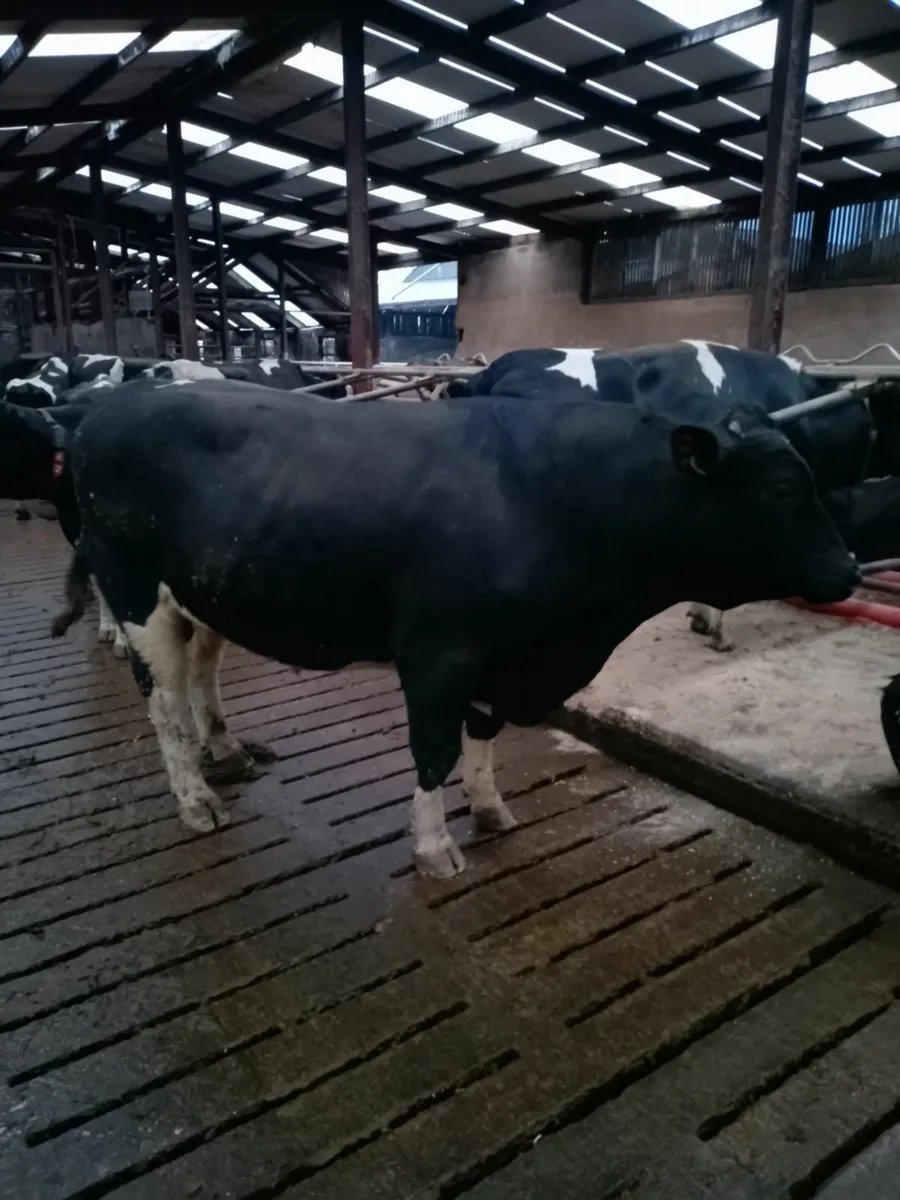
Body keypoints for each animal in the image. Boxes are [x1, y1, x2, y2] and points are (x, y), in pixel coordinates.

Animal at [50, 375, 859, 877]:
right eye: (783, 489)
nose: (851, 570)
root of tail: (111, 404)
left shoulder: (505, 654)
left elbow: (483, 738)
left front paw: (494, 810)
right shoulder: (440, 653)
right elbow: (434, 750)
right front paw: (435, 848)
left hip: (208, 591)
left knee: (201, 672)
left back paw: (227, 752)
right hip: (134, 589)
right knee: (162, 702)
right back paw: (196, 799)